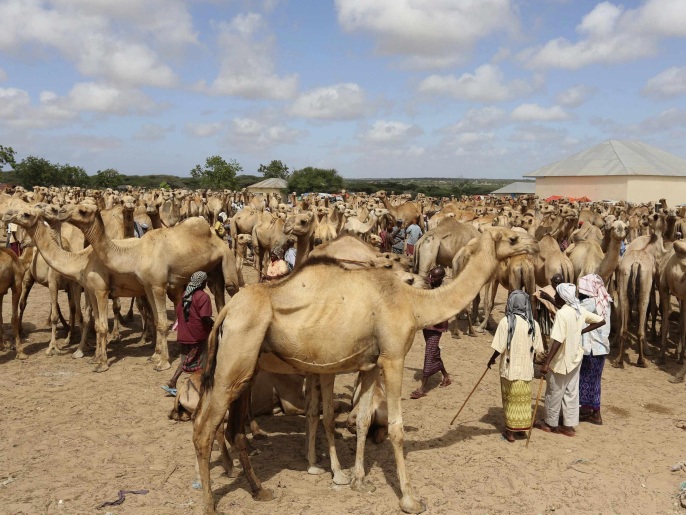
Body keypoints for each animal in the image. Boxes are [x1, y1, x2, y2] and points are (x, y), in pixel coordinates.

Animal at [57, 203, 240, 371]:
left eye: (83, 210)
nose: (61, 211)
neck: (135, 254)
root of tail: (217, 237)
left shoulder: (158, 285)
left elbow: (162, 322)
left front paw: (163, 363)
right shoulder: (148, 285)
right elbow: (157, 319)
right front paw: (156, 356)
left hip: (227, 260)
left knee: (233, 289)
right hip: (213, 271)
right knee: (219, 299)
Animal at [192, 228, 538, 515]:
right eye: (512, 237)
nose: (535, 244)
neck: (414, 304)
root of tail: (226, 311)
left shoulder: (370, 364)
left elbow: (361, 419)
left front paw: (359, 480)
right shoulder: (393, 356)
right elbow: (396, 427)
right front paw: (410, 499)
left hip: (244, 369)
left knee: (230, 428)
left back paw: (260, 491)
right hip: (234, 361)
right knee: (204, 428)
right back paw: (210, 504)